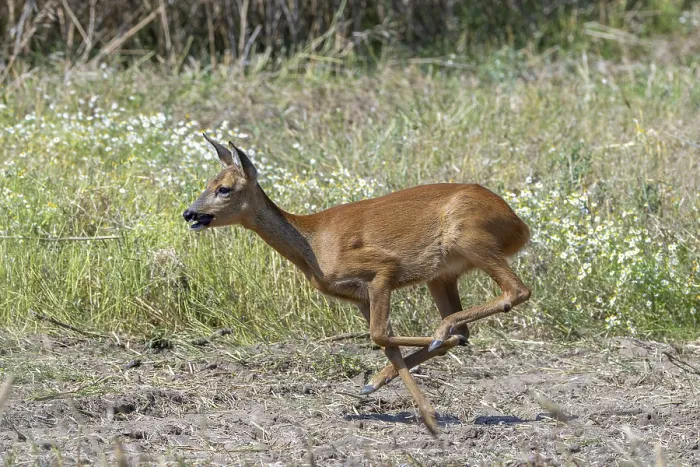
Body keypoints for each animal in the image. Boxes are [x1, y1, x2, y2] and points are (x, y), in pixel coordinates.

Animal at [183, 134, 532, 435]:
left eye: (224, 188)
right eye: (207, 183)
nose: (190, 213)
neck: (312, 244)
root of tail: (520, 226)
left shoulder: (383, 268)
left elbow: (379, 335)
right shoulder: (360, 297)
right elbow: (386, 342)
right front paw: (427, 415)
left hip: (471, 239)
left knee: (517, 291)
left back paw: (441, 333)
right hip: (442, 275)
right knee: (467, 328)